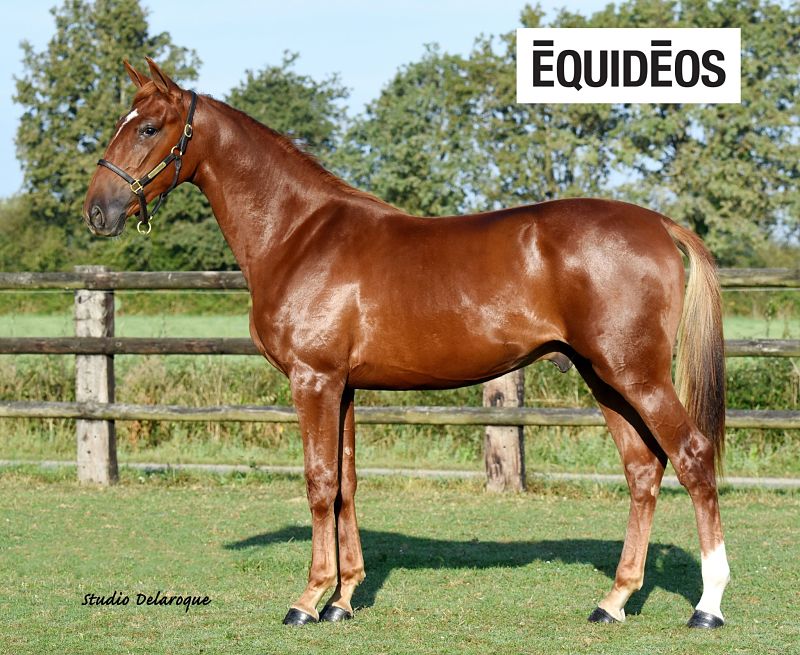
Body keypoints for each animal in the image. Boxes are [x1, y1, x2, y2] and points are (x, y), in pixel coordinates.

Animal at [84, 58, 730, 629]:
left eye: (148, 127)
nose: (97, 212)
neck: (299, 233)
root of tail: (659, 224)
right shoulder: (343, 386)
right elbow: (345, 485)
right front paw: (343, 600)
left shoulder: (313, 380)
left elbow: (319, 483)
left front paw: (308, 600)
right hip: (605, 378)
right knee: (643, 471)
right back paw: (613, 602)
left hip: (636, 375)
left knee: (693, 457)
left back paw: (707, 606)